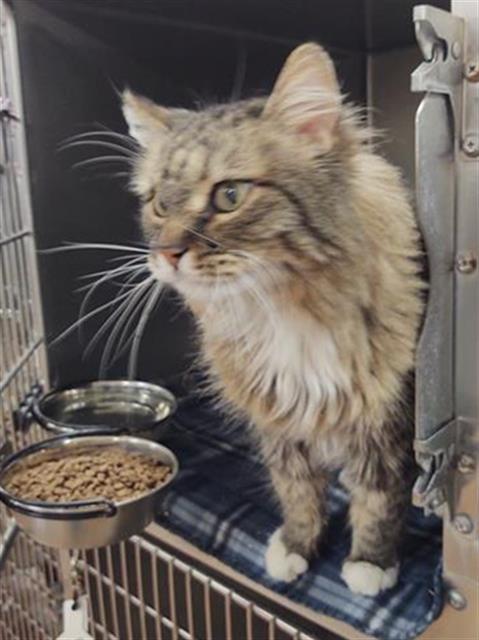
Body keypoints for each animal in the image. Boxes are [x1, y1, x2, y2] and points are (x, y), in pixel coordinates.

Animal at [122, 43, 426, 596]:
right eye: (157, 203)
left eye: (229, 196)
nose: (167, 254)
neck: (282, 314)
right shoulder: (279, 423)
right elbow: (297, 494)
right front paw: (296, 549)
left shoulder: (387, 422)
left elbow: (379, 500)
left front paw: (369, 565)